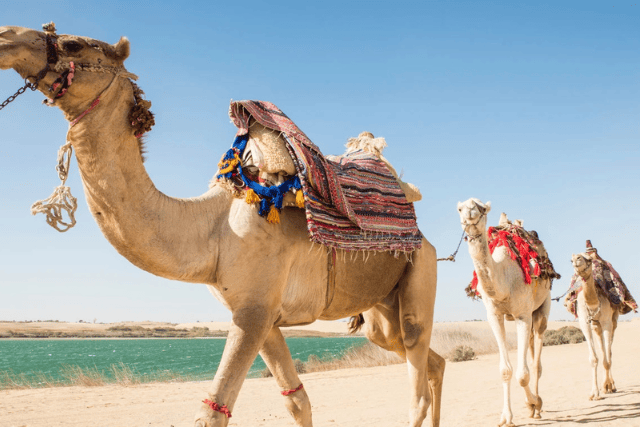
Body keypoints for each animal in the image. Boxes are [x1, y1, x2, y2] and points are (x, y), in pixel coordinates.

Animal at [0, 24, 444, 427]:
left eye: (73, 43)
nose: (6, 35)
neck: (213, 230)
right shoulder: (260, 315)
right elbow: (297, 402)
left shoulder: (253, 312)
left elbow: (211, 413)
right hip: (380, 308)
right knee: (428, 359)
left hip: (420, 269)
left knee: (416, 371)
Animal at [457, 198, 557, 427]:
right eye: (460, 208)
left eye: (482, 208)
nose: (470, 212)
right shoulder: (495, 315)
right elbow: (505, 370)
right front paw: (506, 417)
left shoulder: (523, 315)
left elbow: (523, 374)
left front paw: (534, 403)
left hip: (542, 308)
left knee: (536, 361)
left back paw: (537, 407)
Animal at [569, 251, 619, 401]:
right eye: (571, 260)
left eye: (589, 259)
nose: (576, 259)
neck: (593, 303)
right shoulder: (584, 322)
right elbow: (594, 358)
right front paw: (594, 393)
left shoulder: (607, 321)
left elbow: (607, 358)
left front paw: (607, 386)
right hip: (596, 324)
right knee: (602, 349)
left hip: (613, 320)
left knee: (609, 353)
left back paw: (611, 386)